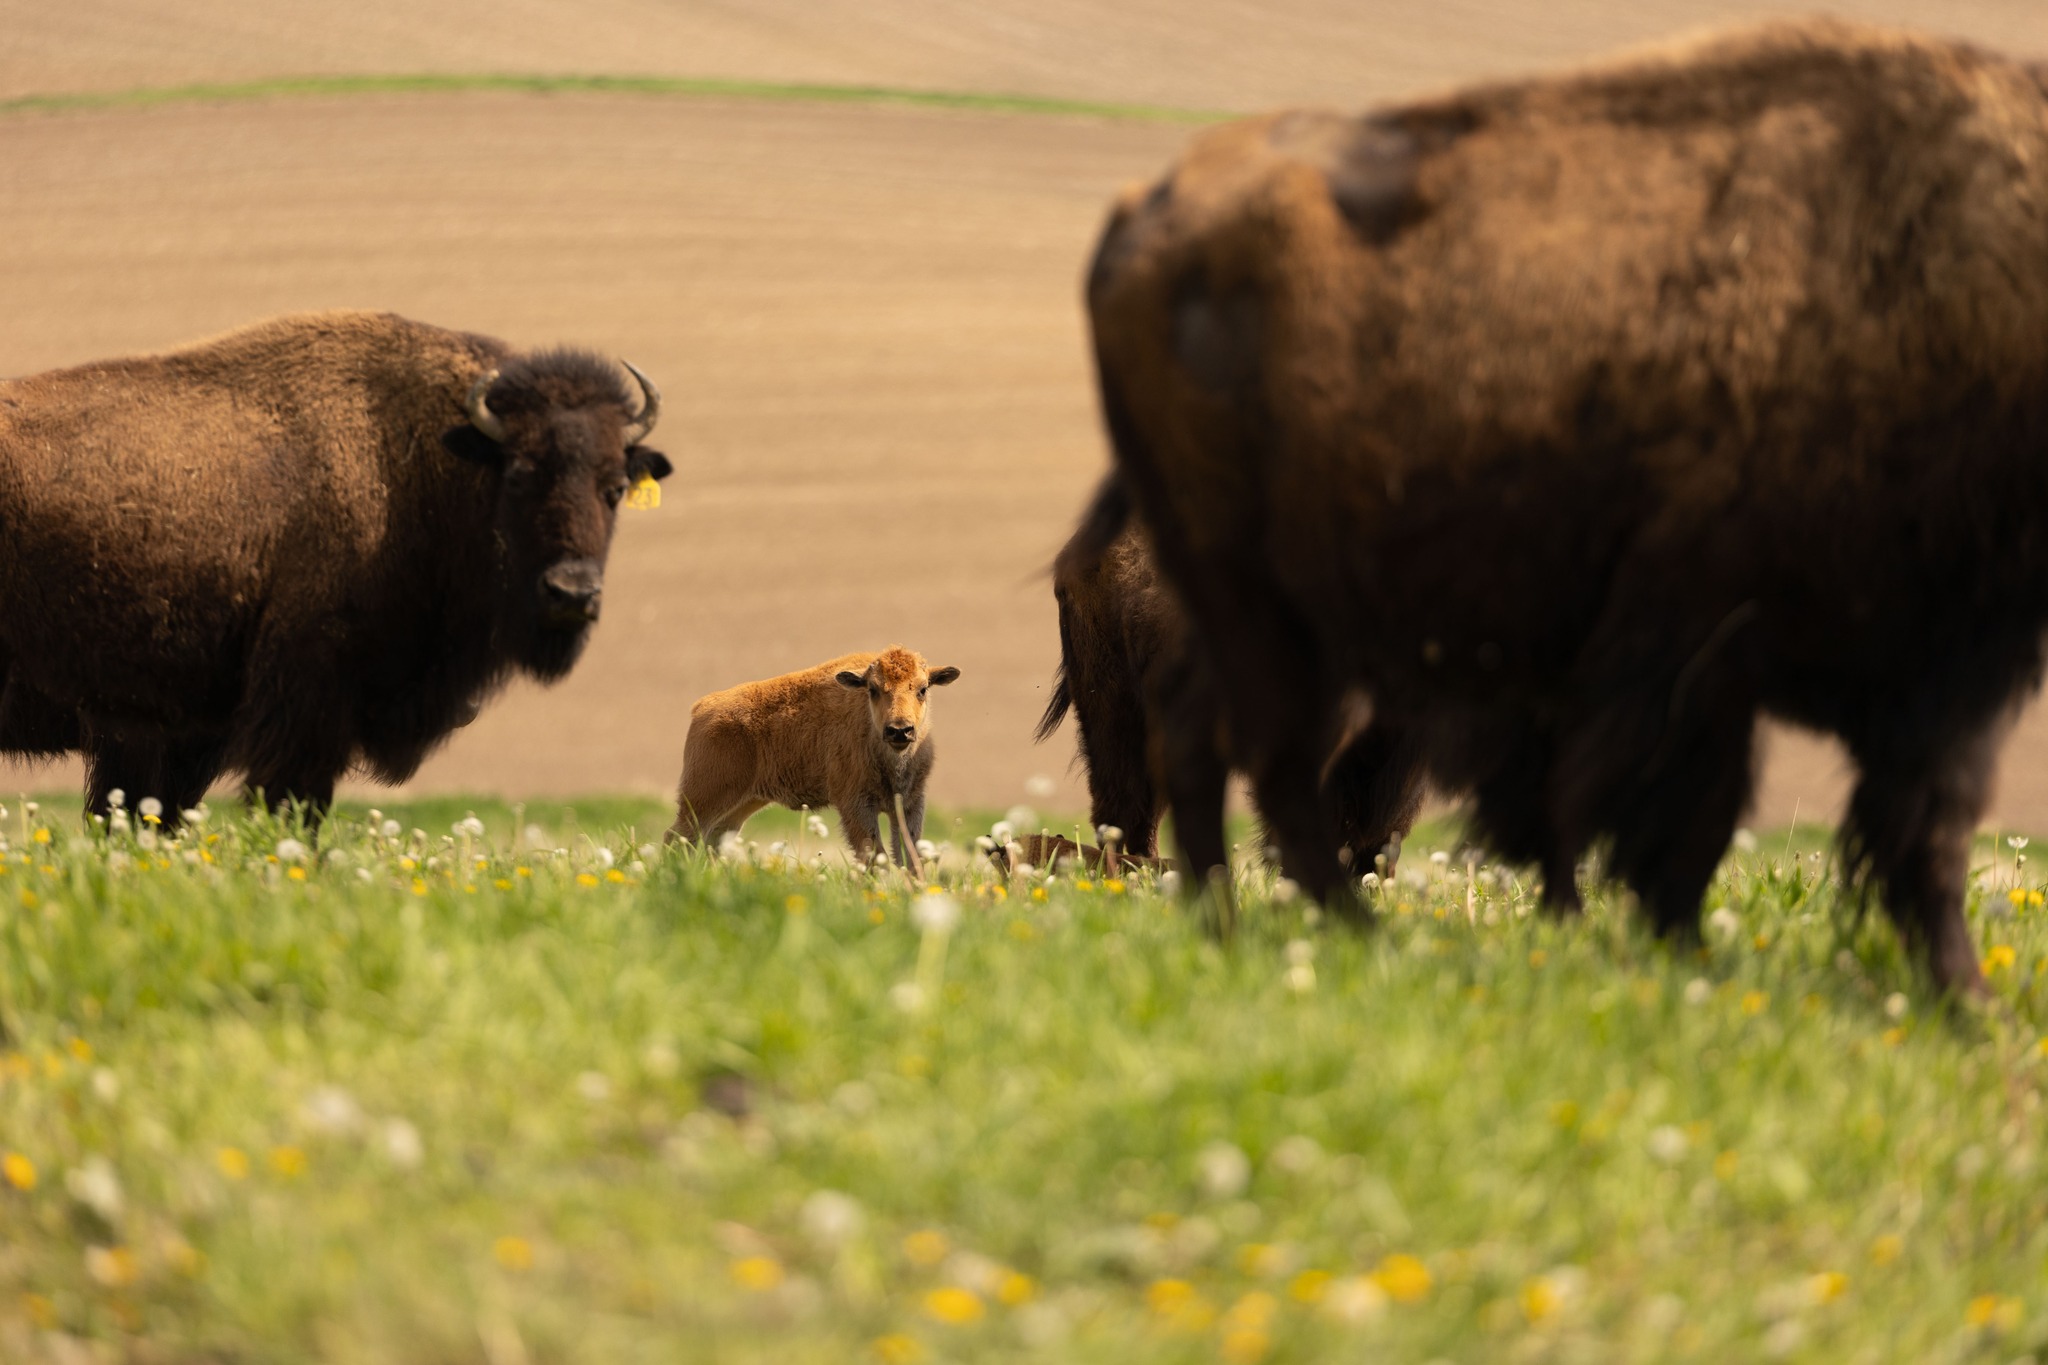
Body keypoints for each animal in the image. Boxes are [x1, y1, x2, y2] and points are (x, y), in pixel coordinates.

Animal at [0, 310, 671, 820]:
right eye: (521, 474)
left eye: (615, 487)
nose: (572, 594)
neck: (426, 461)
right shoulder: (302, 708)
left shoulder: (185, 731)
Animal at [670, 646, 960, 866]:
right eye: (873, 689)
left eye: (923, 689)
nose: (899, 730)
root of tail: (703, 706)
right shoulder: (855, 805)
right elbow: (875, 857)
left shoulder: (910, 804)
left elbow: (910, 858)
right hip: (702, 800)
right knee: (679, 837)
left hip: (741, 804)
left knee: (712, 842)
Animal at [1083, 18, 2048, 994]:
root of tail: (1140, 216)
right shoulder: (1700, 651)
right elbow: (1685, 818)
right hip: (1274, 614)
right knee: (1256, 759)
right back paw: (1322, 931)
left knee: (1228, 750)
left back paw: (1274, 926)